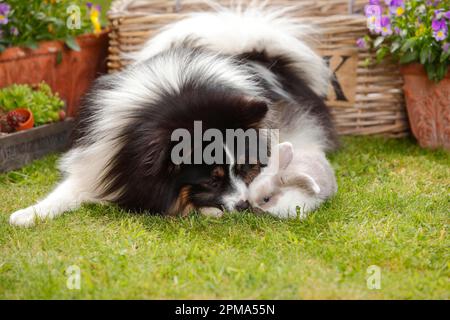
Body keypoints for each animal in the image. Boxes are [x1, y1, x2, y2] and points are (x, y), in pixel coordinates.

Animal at [8, 4, 338, 225]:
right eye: (212, 180)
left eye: (244, 168)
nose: (247, 205)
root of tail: (255, 55)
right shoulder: (102, 160)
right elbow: (66, 191)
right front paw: (26, 214)